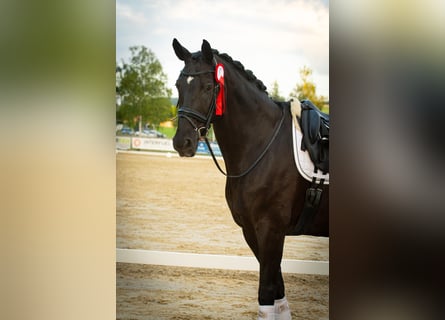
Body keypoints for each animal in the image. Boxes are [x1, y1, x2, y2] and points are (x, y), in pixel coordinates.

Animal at [172, 38, 328, 318]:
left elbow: (266, 292)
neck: (263, 142)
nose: (182, 142)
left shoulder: (271, 229)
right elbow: (278, 290)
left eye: (209, 87)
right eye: (178, 86)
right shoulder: (251, 230)